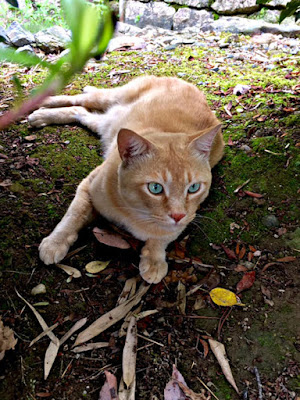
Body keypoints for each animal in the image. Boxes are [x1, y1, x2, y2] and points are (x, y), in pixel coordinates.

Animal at [29, 74, 224, 282]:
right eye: (155, 188)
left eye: (194, 188)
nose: (178, 215)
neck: (136, 214)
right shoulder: (87, 186)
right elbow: (73, 216)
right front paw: (55, 242)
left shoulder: (190, 214)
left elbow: (164, 236)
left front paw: (154, 259)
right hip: (111, 99)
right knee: (80, 99)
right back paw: (40, 106)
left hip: (105, 123)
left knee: (81, 111)